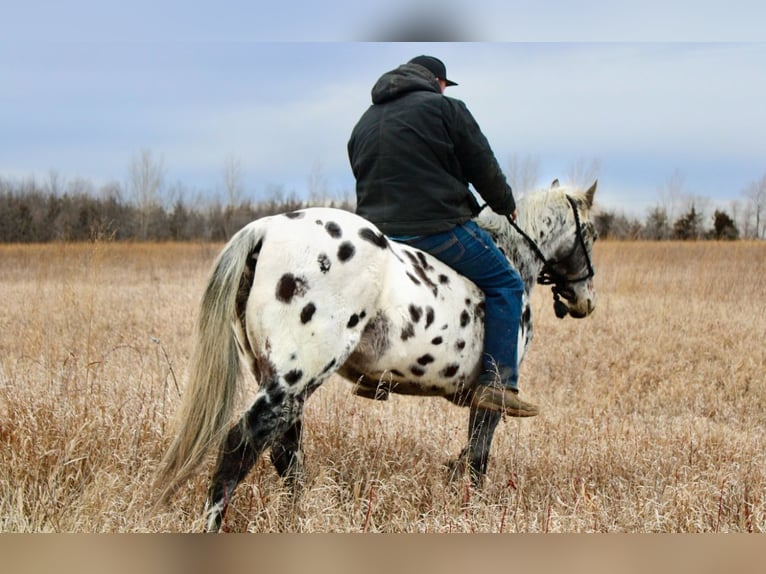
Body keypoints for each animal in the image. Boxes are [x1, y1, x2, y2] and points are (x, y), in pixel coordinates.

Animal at [156, 181, 600, 536]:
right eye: (591, 233)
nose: (585, 301)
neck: (513, 256)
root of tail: (265, 228)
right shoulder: (493, 392)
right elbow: (478, 453)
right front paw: (471, 506)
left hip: (281, 380)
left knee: (285, 451)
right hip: (295, 378)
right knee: (240, 445)